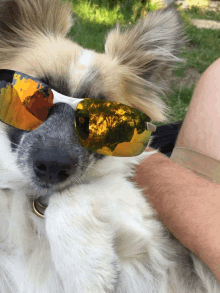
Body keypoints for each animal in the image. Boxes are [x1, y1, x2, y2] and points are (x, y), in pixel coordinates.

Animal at [0, 0, 218, 290]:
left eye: (104, 120)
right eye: (33, 98)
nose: (52, 167)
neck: (36, 199)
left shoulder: (161, 246)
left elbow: (74, 193)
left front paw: (87, 269)